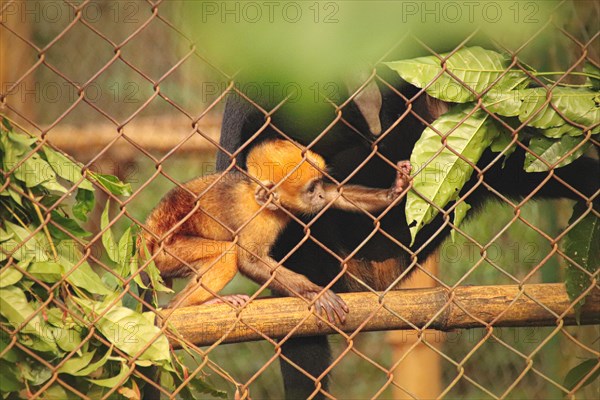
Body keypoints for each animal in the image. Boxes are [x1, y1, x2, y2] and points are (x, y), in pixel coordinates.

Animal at [142, 140, 412, 322]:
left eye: (318, 186)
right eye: (311, 190)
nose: (319, 195)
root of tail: (149, 232)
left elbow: (337, 195)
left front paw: (395, 189)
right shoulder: (257, 220)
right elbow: (249, 261)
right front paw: (315, 292)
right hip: (167, 255)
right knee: (227, 254)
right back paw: (186, 305)